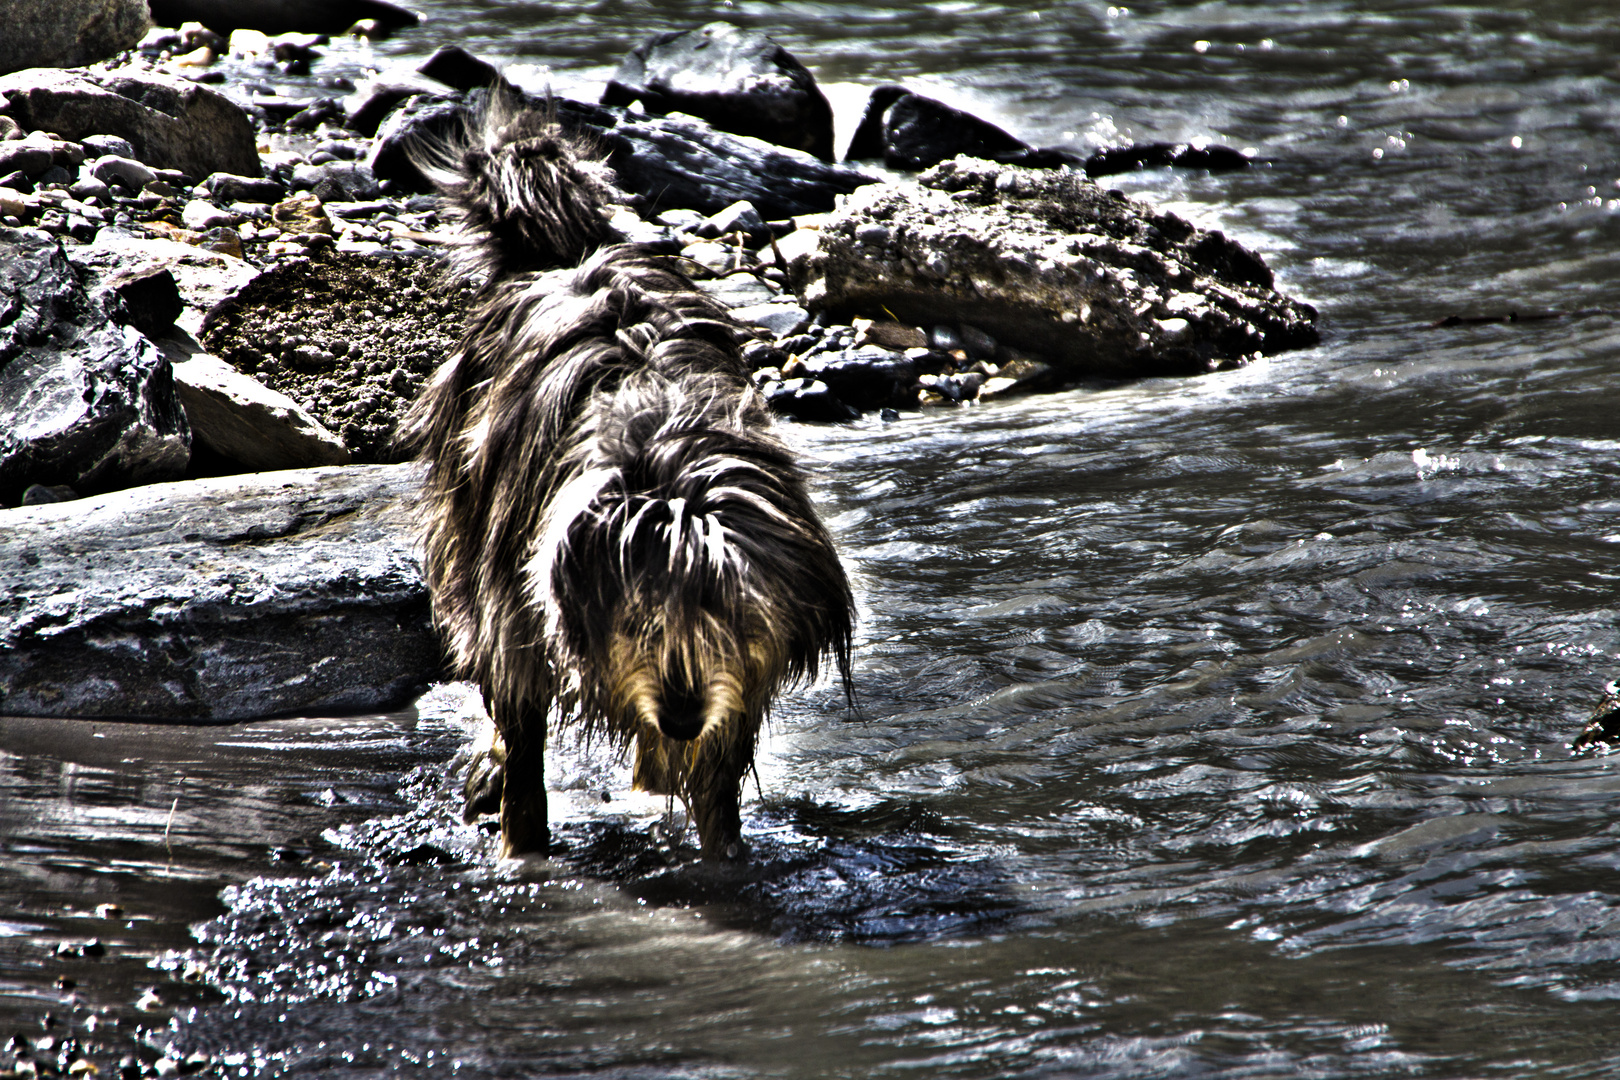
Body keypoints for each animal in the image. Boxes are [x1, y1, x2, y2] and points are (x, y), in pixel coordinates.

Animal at [401, 101, 861, 861]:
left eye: (734, 616)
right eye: (637, 617)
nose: (680, 717)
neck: (665, 455)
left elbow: (718, 780)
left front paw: (724, 853)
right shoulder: (516, 609)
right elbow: (521, 732)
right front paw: (522, 848)